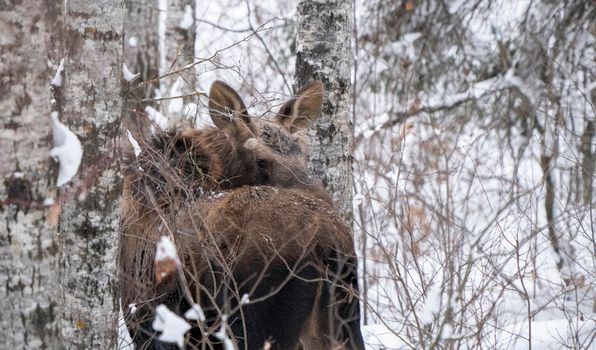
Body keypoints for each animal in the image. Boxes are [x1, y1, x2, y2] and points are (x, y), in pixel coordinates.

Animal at [120, 80, 364, 350]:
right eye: (261, 162)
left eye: (305, 156)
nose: (323, 198)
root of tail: (327, 245)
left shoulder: (145, 324)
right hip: (342, 321)